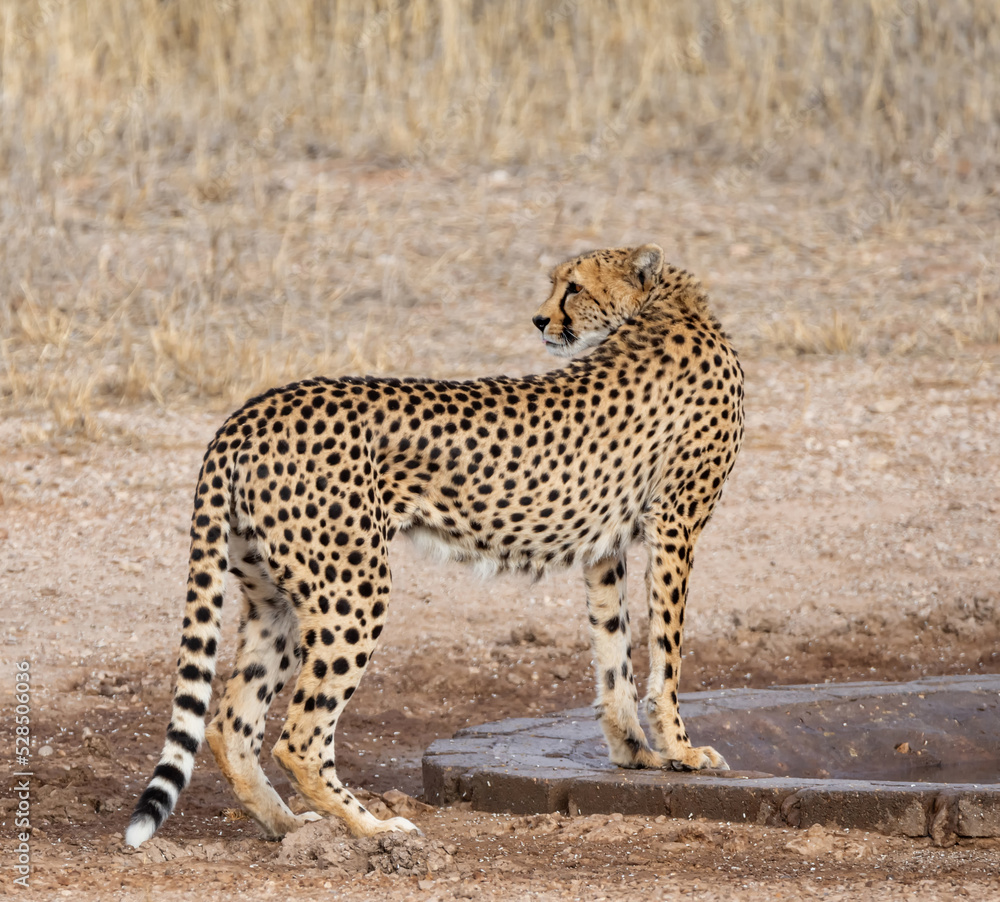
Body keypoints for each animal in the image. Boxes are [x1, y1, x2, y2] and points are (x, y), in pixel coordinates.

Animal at [125, 243, 744, 846]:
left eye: (573, 287)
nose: (540, 319)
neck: (661, 307)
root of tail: (253, 410)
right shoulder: (676, 523)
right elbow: (667, 649)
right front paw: (682, 749)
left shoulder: (605, 548)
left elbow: (614, 652)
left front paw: (635, 752)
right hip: (352, 590)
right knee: (297, 738)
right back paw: (373, 829)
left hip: (274, 597)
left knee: (229, 724)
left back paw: (288, 827)